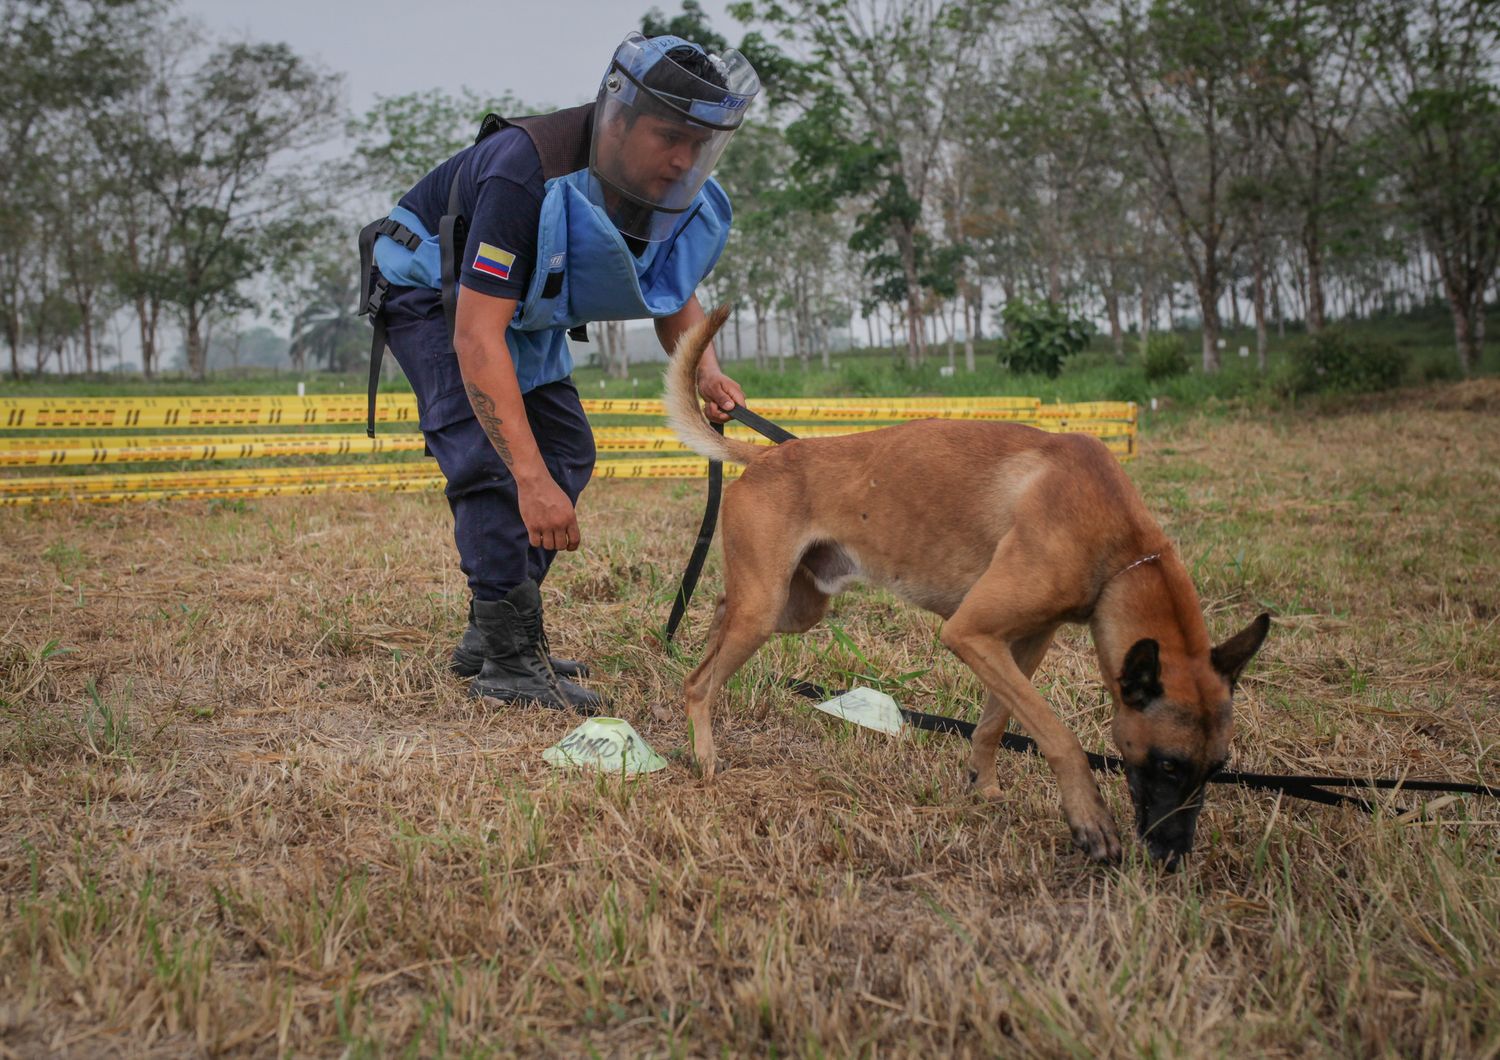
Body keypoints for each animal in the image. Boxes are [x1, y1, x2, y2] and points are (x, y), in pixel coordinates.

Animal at [669, 304, 1266, 863]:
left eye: (1217, 768)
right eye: (1168, 765)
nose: (1173, 856)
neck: (1122, 550)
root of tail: (769, 453)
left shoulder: (1023, 642)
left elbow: (995, 723)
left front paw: (985, 787)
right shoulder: (971, 633)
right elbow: (1059, 735)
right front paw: (1090, 819)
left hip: (792, 608)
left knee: (721, 608)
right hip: (766, 609)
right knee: (699, 682)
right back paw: (705, 755)